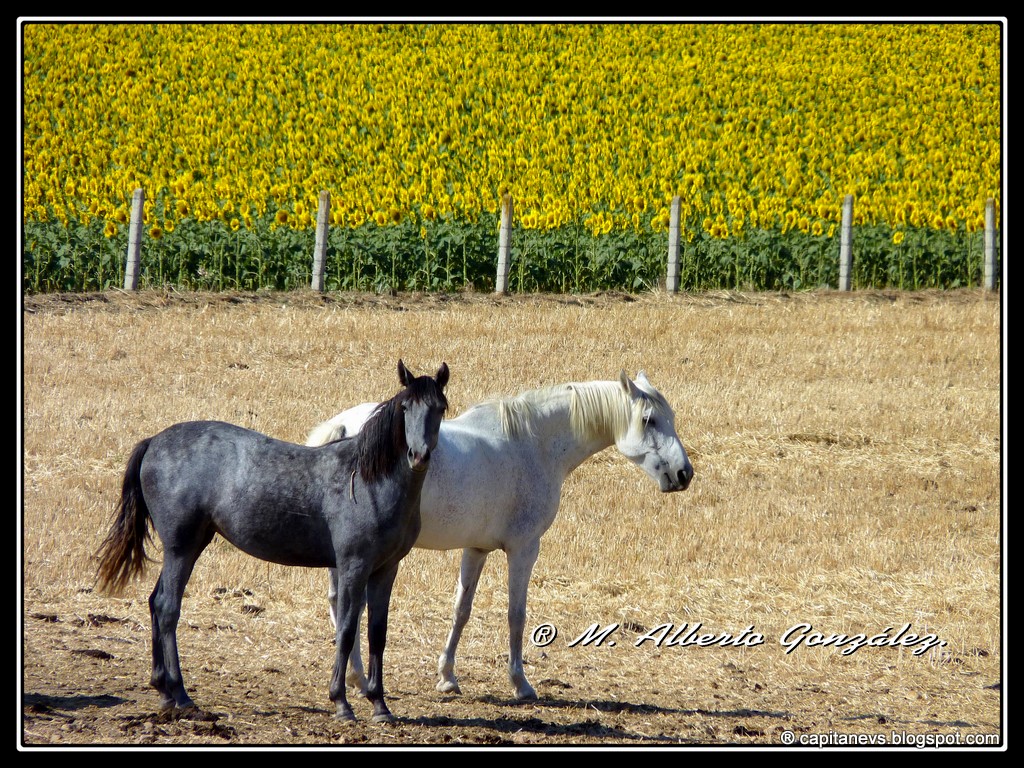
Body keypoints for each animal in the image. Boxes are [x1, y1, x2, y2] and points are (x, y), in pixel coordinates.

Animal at [95, 360, 449, 722]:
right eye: (405, 408)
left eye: (440, 408)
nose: (418, 455)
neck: (367, 480)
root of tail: (153, 442)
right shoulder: (354, 566)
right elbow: (347, 630)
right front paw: (341, 702)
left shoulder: (386, 569)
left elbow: (377, 633)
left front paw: (380, 705)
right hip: (181, 548)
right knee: (168, 609)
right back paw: (180, 694)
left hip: (186, 548)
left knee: (155, 602)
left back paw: (163, 690)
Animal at [307, 370, 693, 700]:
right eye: (648, 420)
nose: (683, 473)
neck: (533, 445)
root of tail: (344, 427)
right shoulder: (524, 549)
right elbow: (516, 614)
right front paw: (520, 683)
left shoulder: (476, 549)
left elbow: (461, 610)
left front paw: (447, 676)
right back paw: (357, 677)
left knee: (340, 601)